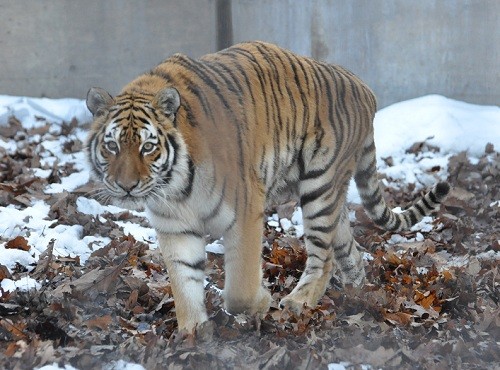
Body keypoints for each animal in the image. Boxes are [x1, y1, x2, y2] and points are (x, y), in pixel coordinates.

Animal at [85, 40, 450, 332]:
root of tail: (365, 88)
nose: (126, 186)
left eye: (148, 147)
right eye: (112, 146)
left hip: (319, 186)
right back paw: (359, 295)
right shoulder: (175, 227)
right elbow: (183, 282)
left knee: (323, 257)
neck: (175, 189)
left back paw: (299, 301)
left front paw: (260, 302)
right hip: (331, 197)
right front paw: (192, 332)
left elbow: (239, 289)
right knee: (347, 249)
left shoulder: (245, 212)